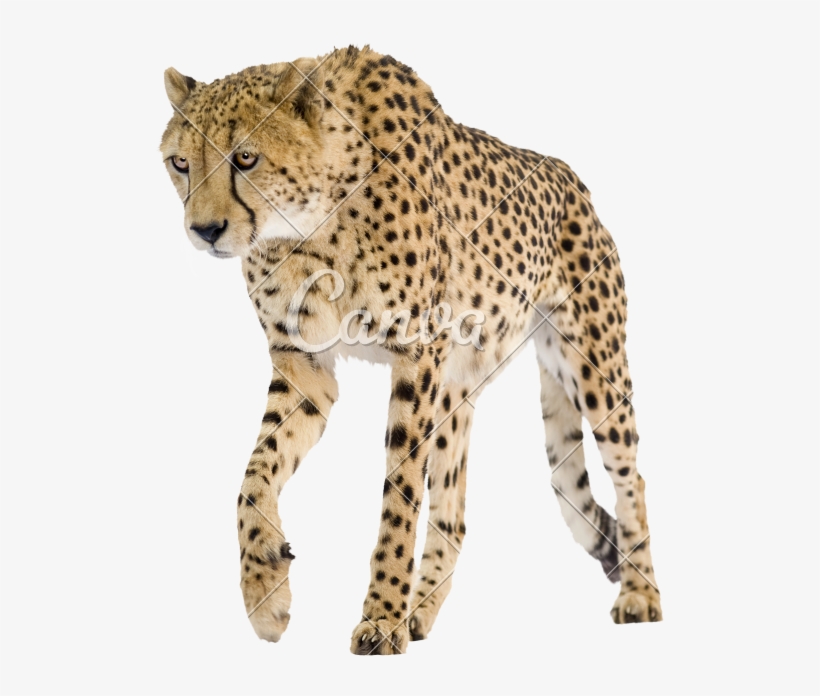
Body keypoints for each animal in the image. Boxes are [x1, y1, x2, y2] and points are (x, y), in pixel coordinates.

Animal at [159, 45, 662, 655]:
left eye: (246, 158)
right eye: (180, 163)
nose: (204, 230)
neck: (309, 226)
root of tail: (570, 177)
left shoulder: (416, 355)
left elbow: (399, 494)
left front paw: (380, 617)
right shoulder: (304, 365)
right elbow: (255, 474)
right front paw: (265, 591)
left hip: (593, 368)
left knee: (630, 477)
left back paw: (641, 594)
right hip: (457, 390)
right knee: (454, 512)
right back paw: (420, 609)